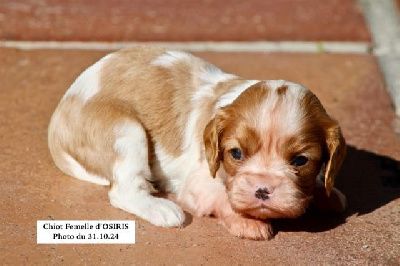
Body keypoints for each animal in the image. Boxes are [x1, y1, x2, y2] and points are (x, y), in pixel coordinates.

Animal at [47, 46, 346, 240]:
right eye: (236, 153)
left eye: (300, 160)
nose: (262, 190)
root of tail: (58, 118)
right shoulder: (199, 181)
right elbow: (224, 197)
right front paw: (248, 222)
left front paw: (326, 193)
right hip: (126, 131)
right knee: (123, 191)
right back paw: (163, 210)